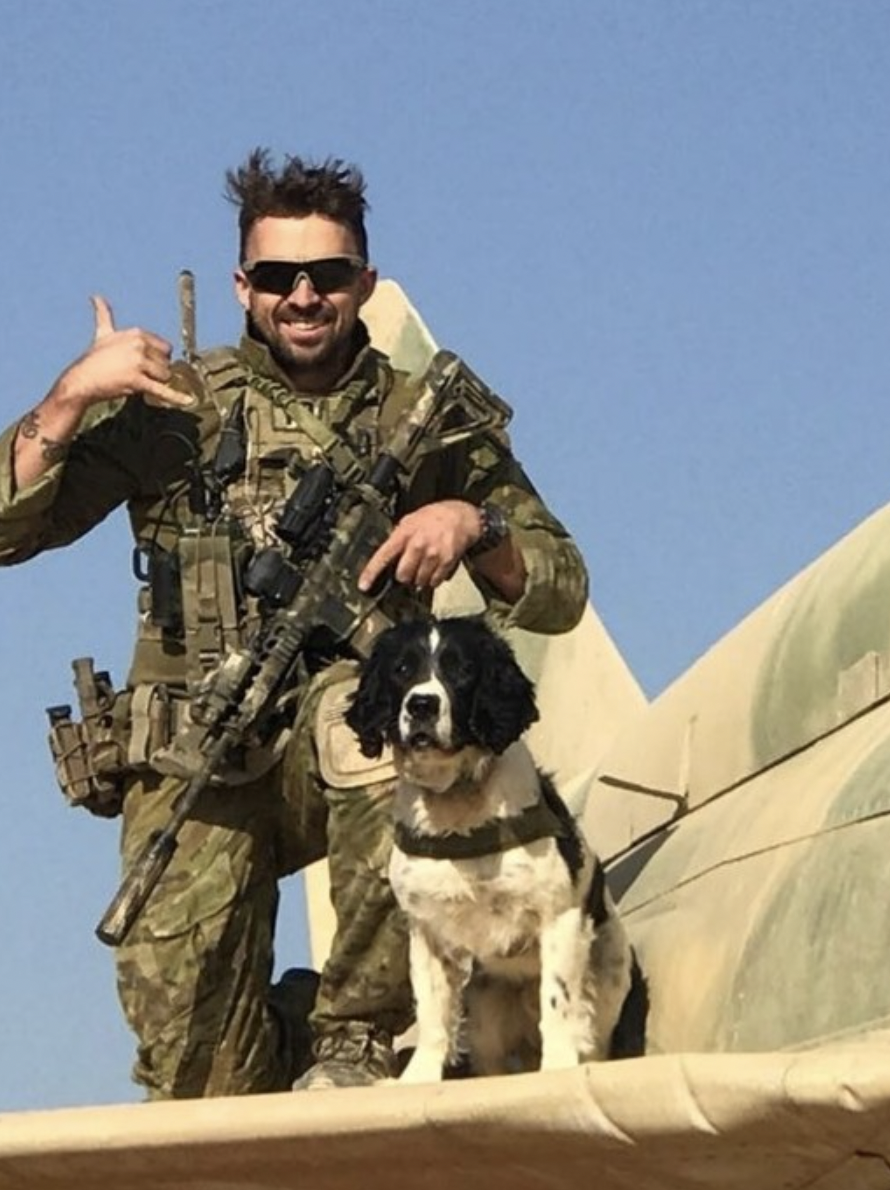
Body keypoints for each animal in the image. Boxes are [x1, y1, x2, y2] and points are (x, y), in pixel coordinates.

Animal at [345, 614, 635, 1083]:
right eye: (402, 670)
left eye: (462, 670)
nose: (421, 706)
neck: (459, 808)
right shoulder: (426, 930)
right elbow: (432, 1014)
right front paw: (419, 1079)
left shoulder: (559, 915)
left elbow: (558, 1001)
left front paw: (557, 1068)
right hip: (485, 1011)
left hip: (605, 978)